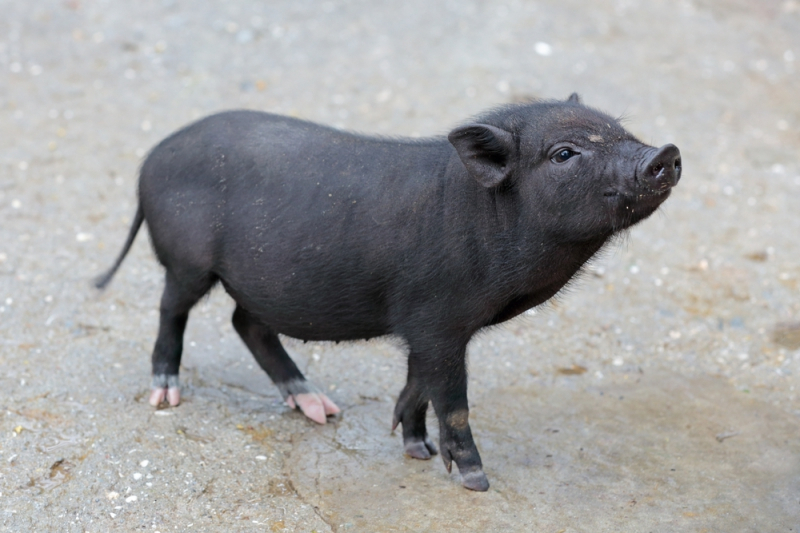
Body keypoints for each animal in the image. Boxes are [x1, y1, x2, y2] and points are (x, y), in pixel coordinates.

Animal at [97, 94, 680, 490]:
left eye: (619, 129)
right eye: (564, 154)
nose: (665, 150)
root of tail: (151, 159)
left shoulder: (427, 327)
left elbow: (418, 380)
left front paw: (415, 448)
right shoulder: (439, 319)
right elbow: (453, 399)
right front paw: (475, 481)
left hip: (259, 283)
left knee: (248, 323)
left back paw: (320, 409)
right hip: (186, 261)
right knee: (171, 310)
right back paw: (165, 396)